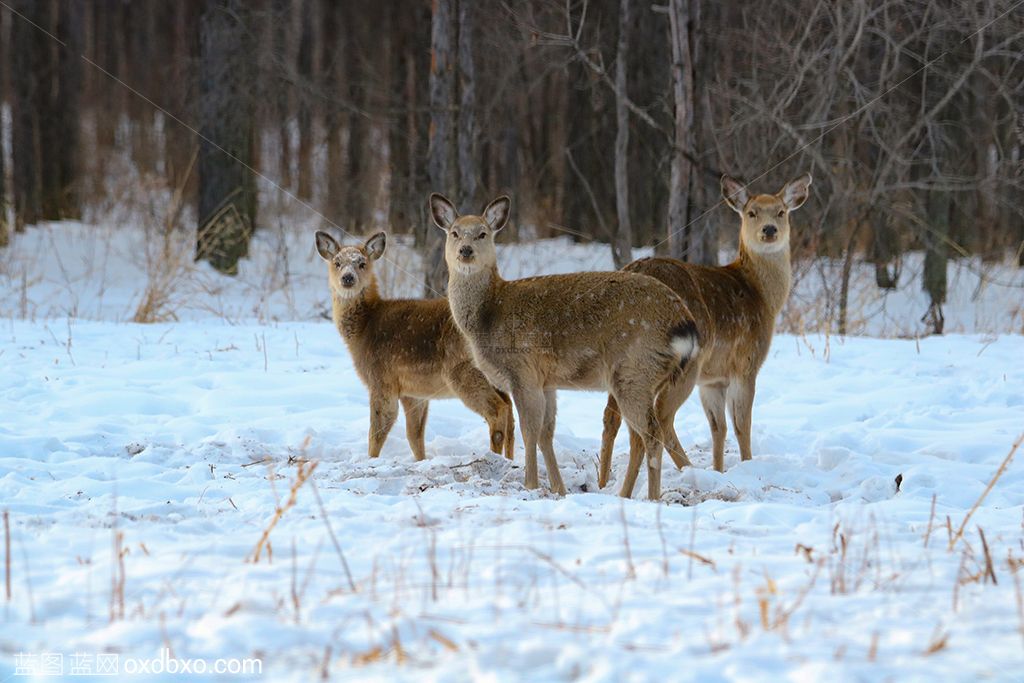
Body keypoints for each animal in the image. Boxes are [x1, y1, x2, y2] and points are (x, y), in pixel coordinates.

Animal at [315, 232, 516, 462]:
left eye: (362, 263)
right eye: (337, 263)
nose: (347, 278)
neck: (364, 328)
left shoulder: (382, 378)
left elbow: (377, 432)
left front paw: (371, 460)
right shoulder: (414, 392)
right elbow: (415, 436)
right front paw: (421, 461)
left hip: (463, 371)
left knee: (498, 410)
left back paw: (495, 457)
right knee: (511, 412)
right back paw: (511, 460)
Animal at [425, 194, 704, 499]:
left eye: (482, 233)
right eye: (454, 233)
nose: (465, 251)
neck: (488, 315)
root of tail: (684, 323)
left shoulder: (523, 371)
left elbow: (529, 431)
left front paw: (531, 484)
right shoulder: (547, 381)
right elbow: (546, 433)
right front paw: (559, 489)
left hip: (635, 369)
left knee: (652, 434)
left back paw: (651, 498)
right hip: (645, 378)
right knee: (639, 437)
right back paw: (624, 494)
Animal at [598, 171, 811, 493]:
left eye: (781, 212)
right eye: (752, 212)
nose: (770, 230)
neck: (761, 297)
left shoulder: (712, 380)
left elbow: (718, 427)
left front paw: (720, 469)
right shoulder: (746, 363)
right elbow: (742, 424)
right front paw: (747, 467)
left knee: (614, 416)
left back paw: (604, 483)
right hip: (684, 361)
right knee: (659, 418)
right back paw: (680, 473)